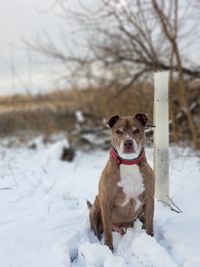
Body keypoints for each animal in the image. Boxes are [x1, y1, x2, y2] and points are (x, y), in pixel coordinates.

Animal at [87, 114, 155, 251]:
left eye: (136, 130)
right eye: (118, 131)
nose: (128, 142)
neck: (128, 163)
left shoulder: (149, 199)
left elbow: (150, 224)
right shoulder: (106, 202)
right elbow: (107, 230)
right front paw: (108, 248)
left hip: (140, 216)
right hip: (95, 210)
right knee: (98, 229)